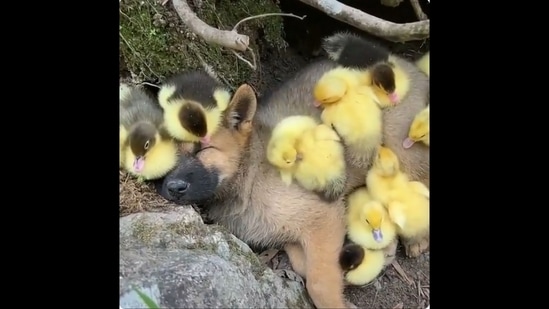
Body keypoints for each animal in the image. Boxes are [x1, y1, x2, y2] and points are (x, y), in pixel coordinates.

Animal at [156, 57, 430, 306]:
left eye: (203, 149)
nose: (173, 188)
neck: (250, 175)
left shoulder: (324, 216)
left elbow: (319, 283)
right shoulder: (291, 233)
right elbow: (303, 265)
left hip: (400, 148)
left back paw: (415, 238)